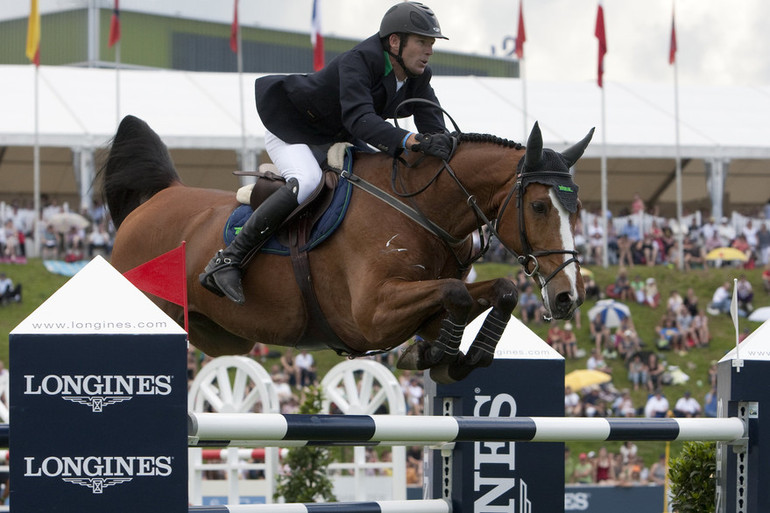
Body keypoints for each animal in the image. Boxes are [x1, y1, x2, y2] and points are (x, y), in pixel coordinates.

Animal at [102, 115, 592, 380]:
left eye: (579, 208)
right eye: (538, 206)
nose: (568, 297)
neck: (421, 208)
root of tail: (160, 196)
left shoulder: (429, 304)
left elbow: (500, 291)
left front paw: (448, 356)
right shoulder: (372, 315)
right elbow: (454, 293)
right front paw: (438, 355)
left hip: (224, 337)